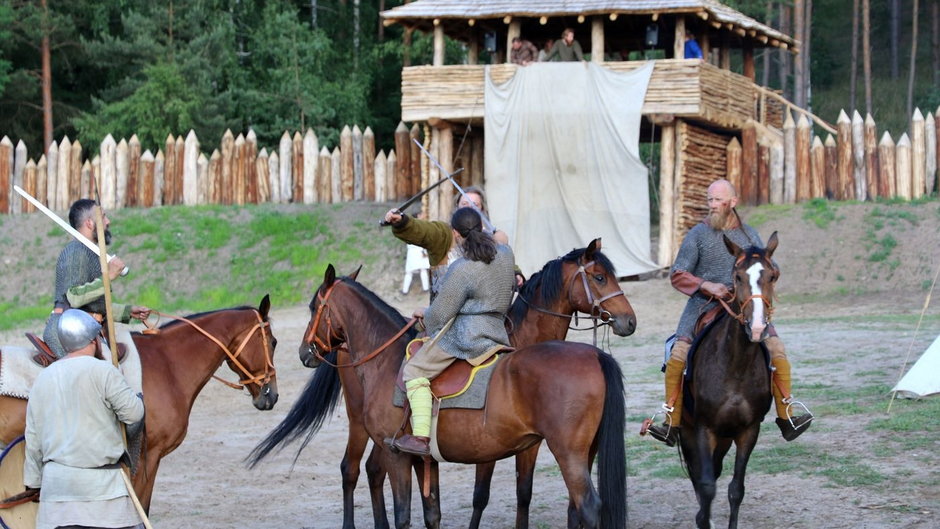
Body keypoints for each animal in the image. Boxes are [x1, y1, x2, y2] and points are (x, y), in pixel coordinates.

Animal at [246, 240, 636, 528]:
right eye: (600, 277)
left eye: (315, 307)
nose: (304, 351)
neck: (386, 356)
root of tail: (595, 357)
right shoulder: (424, 458)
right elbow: (434, 511)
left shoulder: (400, 455)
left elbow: (411, 514)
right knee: (358, 471)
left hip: (569, 453)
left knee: (587, 507)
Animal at [680, 232, 784, 528]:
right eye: (737, 277)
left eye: (772, 276)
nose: (757, 327)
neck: (735, 366)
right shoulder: (703, 429)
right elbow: (706, 486)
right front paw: (703, 519)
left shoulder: (748, 430)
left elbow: (736, 489)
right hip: (688, 431)